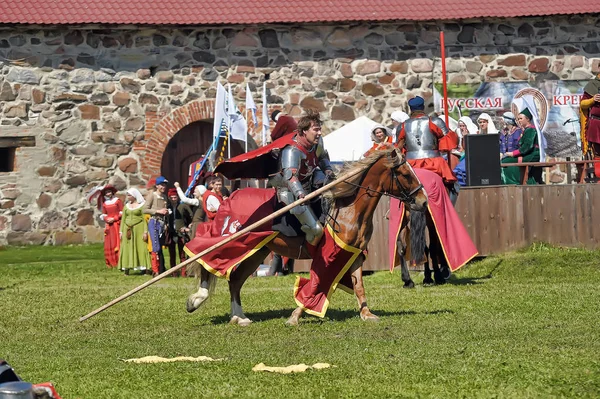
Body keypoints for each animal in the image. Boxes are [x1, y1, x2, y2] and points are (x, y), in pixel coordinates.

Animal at [188, 148, 426, 326]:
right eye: (405, 174)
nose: (423, 201)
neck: (348, 207)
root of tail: (229, 197)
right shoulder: (328, 256)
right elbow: (315, 285)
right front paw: (295, 316)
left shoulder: (354, 253)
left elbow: (358, 285)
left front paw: (366, 314)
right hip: (234, 241)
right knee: (206, 257)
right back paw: (199, 299)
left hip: (257, 251)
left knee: (235, 280)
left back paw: (239, 317)